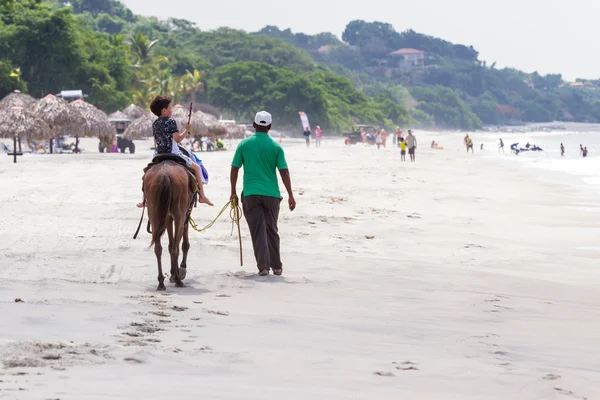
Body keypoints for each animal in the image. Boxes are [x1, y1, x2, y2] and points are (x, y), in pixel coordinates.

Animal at [144, 160, 193, 290]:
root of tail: (164, 175)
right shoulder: (184, 215)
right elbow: (183, 244)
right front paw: (180, 270)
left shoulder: (167, 217)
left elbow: (170, 245)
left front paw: (172, 273)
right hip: (179, 214)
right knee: (176, 247)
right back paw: (178, 280)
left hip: (154, 214)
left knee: (158, 248)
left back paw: (161, 282)